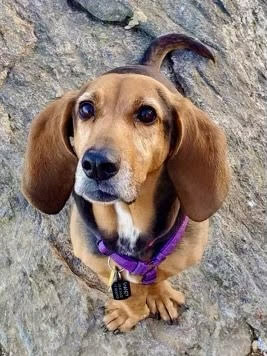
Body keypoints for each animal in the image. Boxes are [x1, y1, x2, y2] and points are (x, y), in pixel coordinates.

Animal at [21, 34, 230, 334]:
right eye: (85, 108)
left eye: (147, 114)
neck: (127, 217)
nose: (97, 164)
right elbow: (132, 296)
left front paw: (159, 295)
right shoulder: (101, 265)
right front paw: (130, 312)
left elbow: (156, 277)